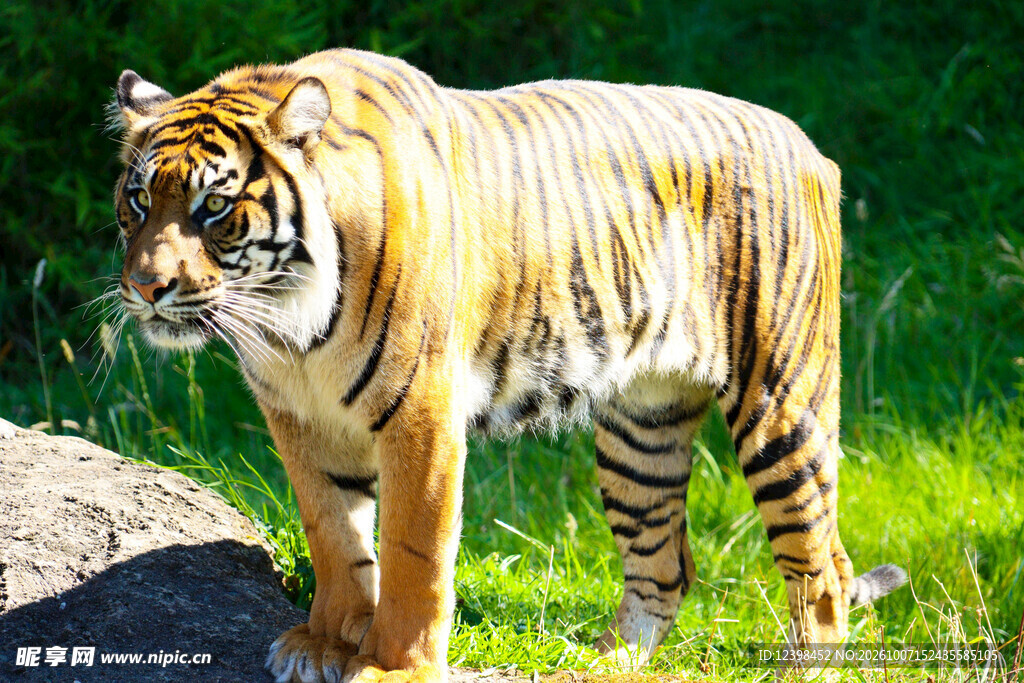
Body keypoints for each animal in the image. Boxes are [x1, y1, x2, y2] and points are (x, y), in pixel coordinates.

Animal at [109, 48, 906, 682]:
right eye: (139, 199)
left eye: (214, 207)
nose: (145, 288)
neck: (288, 320)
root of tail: (805, 142)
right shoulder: (299, 418)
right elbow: (334, 535)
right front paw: (325, 642)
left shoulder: (421, 413)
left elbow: (413, 550)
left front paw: (394, 665)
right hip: (641, 432)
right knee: (666, 565)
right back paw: (603, 664)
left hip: (782, 403)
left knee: (823, 565)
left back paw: (801, 668)